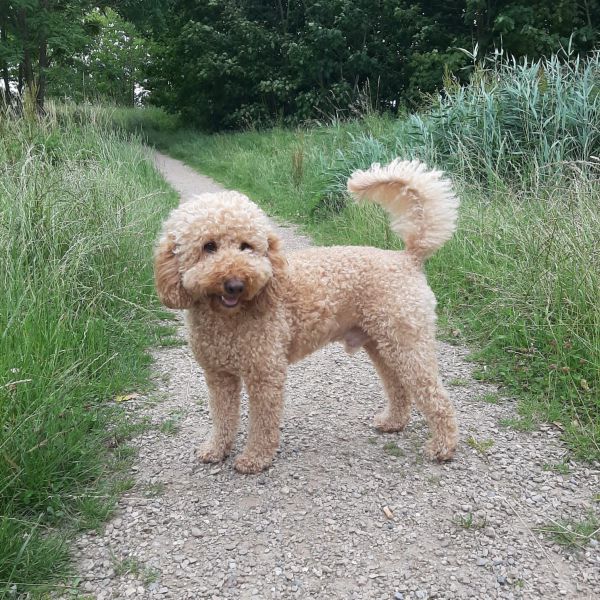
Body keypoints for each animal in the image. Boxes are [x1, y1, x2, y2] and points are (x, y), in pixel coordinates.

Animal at [154, 159, 460, 474]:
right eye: (208, 246)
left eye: (246, 246)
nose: (236, 284)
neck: (229, 318)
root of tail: (407, 258)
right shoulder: (218, 375)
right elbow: (222, 417)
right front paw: (216, 449)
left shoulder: (265, 373)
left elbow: (262, 423)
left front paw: (255, 458)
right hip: (382, 344)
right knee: (398, 386)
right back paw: (393, 422)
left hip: (408, 343)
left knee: (436, 397)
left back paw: (443, 446)